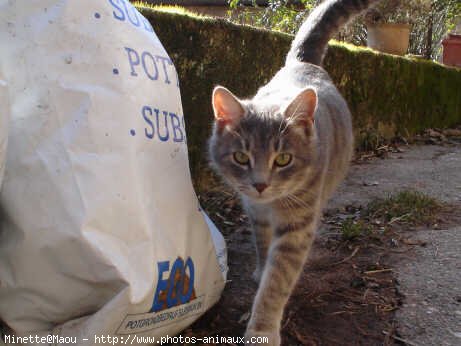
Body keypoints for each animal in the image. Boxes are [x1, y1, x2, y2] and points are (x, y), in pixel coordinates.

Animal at [208, 0, 378, 346]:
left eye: (283, 159)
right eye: (241, 156)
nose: (260, 184)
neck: (270, 205)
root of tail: (303, 63)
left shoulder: (297, 225)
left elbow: (277, 283)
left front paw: (262, 328)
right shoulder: (256, 213)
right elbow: (262, 247)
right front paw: (261, 270)